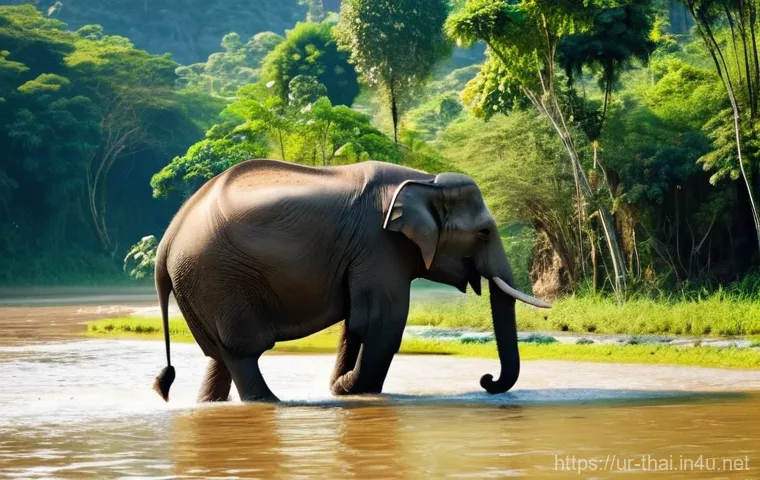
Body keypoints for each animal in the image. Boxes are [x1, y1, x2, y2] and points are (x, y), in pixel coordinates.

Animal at [151, 159, 551, 403]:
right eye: (483, 232)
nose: (486, 380)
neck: (425, 181)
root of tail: (167, 240)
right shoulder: (380, 246)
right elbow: (380, 323)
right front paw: (349, 390)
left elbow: (356, 325)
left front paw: (341, 387)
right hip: (219, 280)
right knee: (242, 350)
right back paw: (272, 403)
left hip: (200, 285)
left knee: (219, 353)